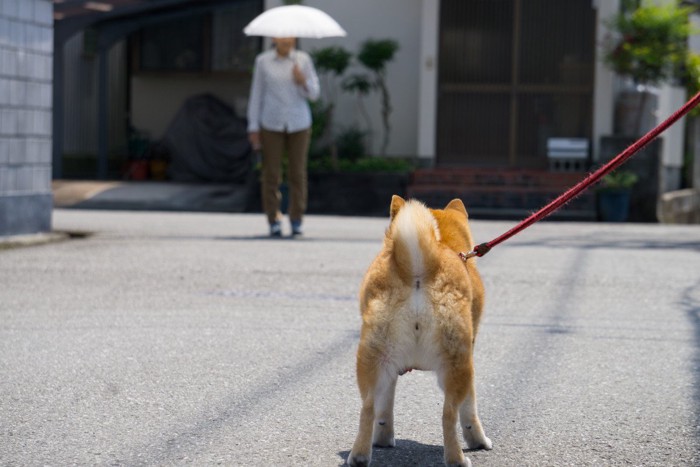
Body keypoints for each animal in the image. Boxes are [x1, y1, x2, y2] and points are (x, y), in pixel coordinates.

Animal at [348, 196, 492, 466]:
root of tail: (417, 271)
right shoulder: (471, 355)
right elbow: (470, 411)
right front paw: (478, 441)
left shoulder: (391, 371)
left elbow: (384, 409)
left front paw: (383, 437)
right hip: (458, 364)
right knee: (449, 415)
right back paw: (457, 459)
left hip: (375, 359)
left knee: (368, 408)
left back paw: (360, 456)